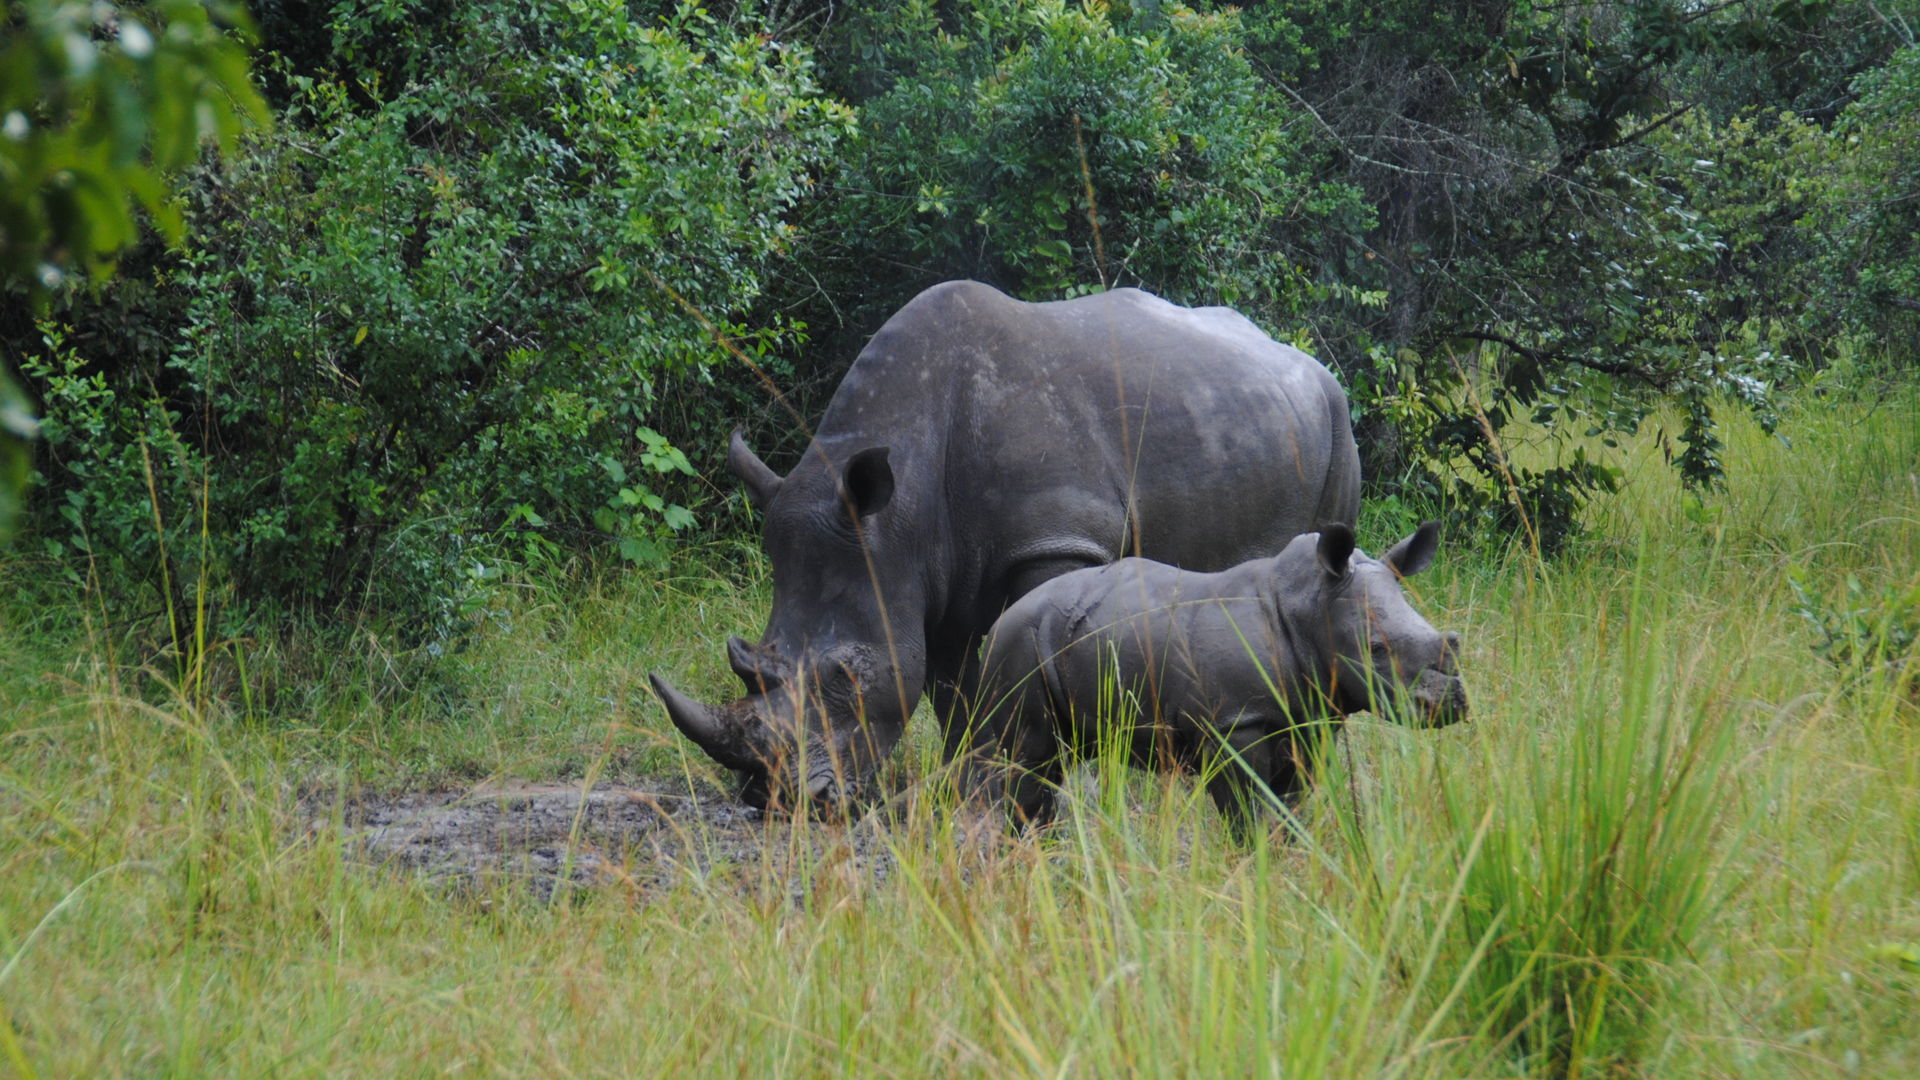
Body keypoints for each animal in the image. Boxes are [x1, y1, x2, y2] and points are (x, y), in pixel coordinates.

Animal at [960, 522, 1466, 822]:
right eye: (1376, 649)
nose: (1451, 704)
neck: (1308, 606)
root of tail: (999, 621)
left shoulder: (1306, 717)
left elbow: (1289, 809)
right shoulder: (1234, 723)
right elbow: (1246, 815)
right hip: (1019, 645)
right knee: (1028, 760)